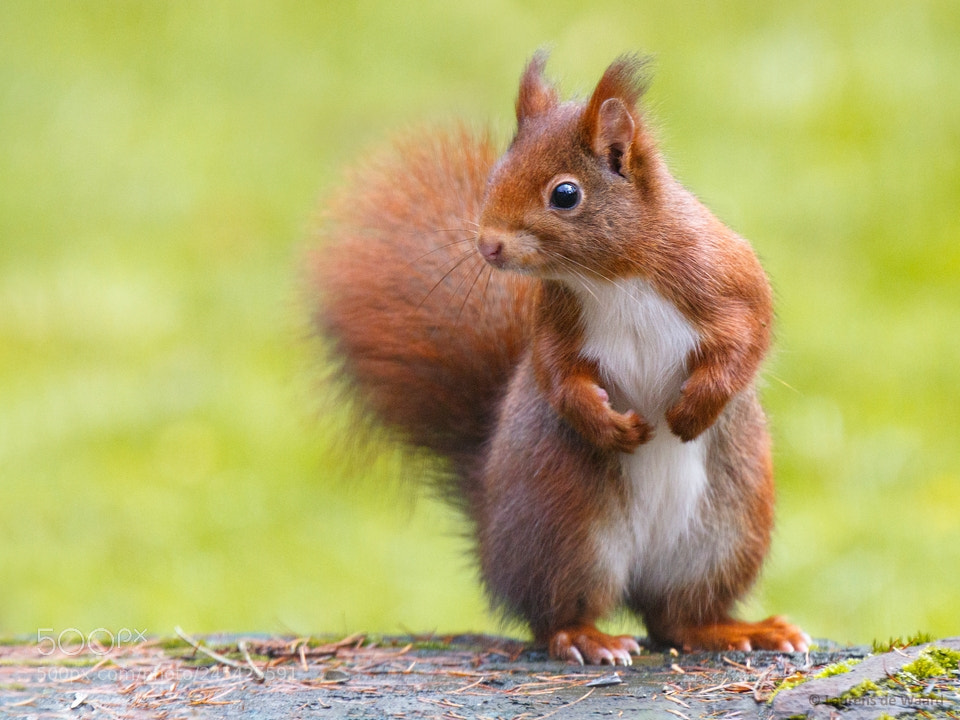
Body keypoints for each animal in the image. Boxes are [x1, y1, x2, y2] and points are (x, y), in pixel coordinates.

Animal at [311, 52, 809, 665]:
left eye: (565, 194)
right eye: (496, 176)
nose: (488, 246)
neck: (610, 274)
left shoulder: (724, 275)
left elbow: (748, 338)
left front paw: (694, 409)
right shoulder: (554, 324)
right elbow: (556, 374)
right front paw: (609, 425)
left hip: (725, 533)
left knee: (677, 619)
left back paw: (739, 630)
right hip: (566, 530)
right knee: (557, 613)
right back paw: (588, 638)